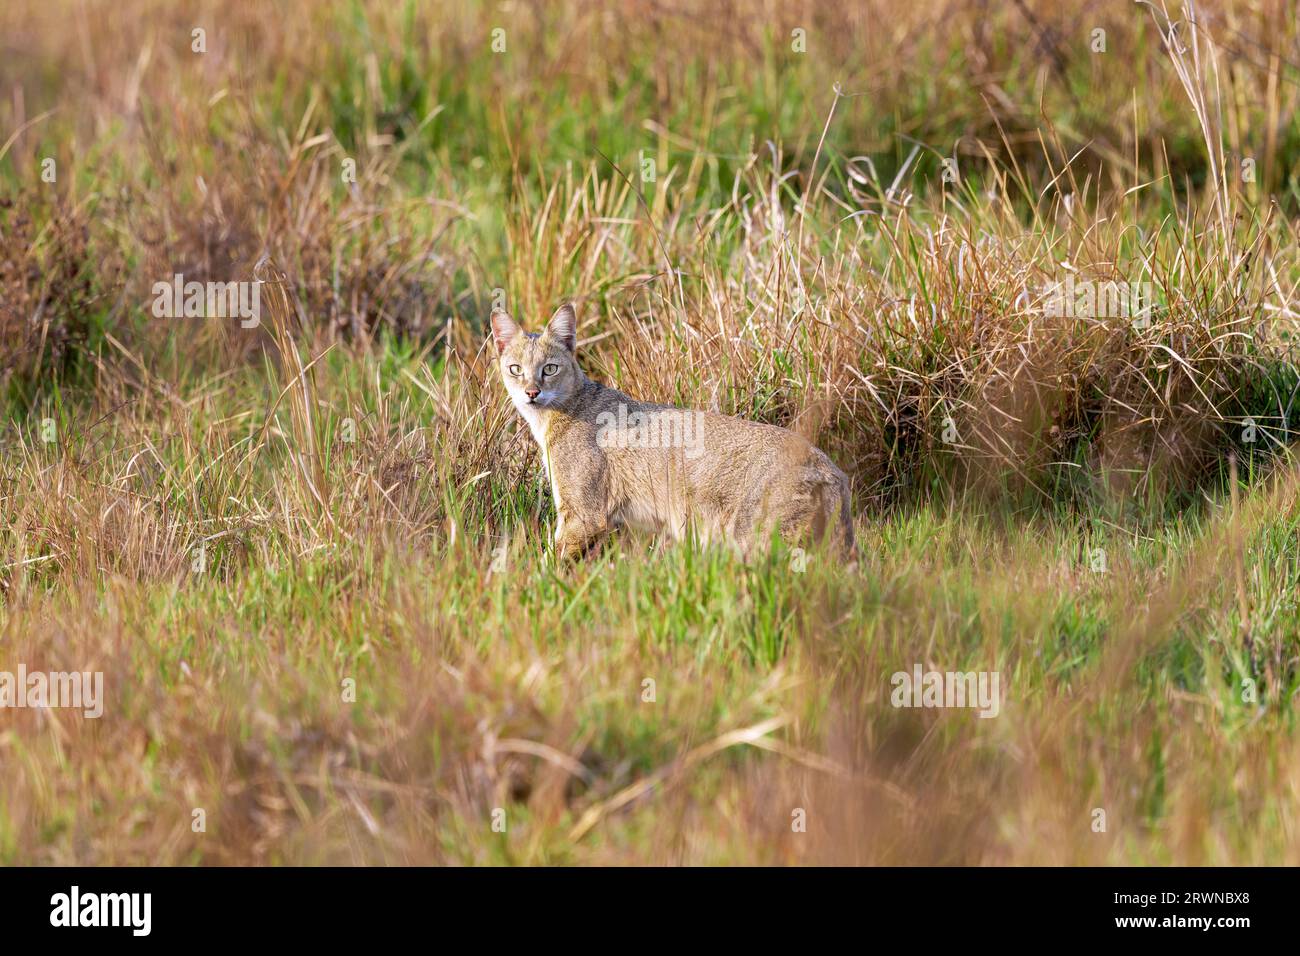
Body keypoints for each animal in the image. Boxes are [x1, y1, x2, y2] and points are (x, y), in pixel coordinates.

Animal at [488, 303, 852, 561]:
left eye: (549, 369)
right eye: (515, 369)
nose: (531, 392)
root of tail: (830, 467)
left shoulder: (584, 515)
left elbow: (545, 567)